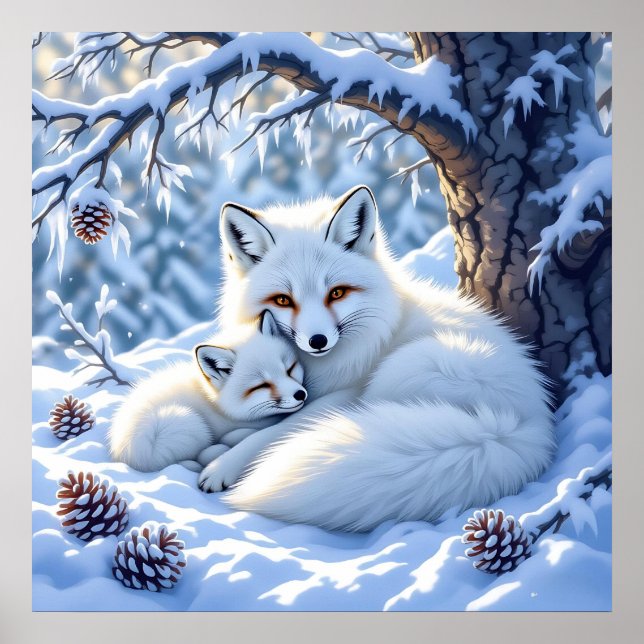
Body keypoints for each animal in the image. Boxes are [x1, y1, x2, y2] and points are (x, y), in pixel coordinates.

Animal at [196, 184, 556, 533]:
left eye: (337, 293)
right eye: (283, 300)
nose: (317, 341)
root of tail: (520, 426)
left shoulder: (344, 393)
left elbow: (278, 430)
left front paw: (224, 465)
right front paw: (229, 442)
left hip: (402, 370)